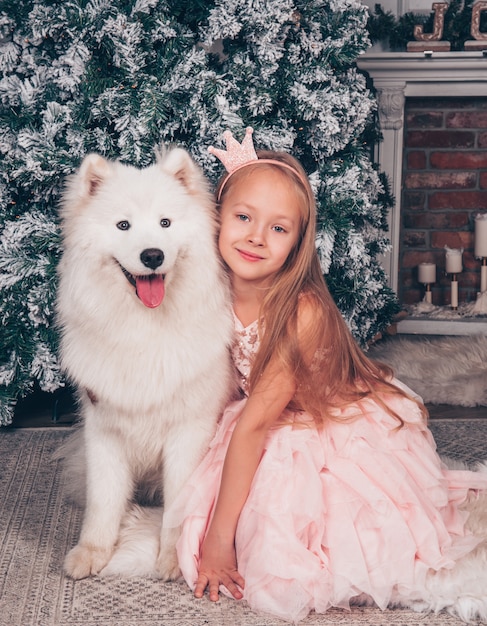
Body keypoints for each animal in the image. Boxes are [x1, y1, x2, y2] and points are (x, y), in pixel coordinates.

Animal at [56, 147, 235, 580]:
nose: (152, 255)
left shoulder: (188, 432)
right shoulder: (105, 430)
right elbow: (103, 501)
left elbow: (179, 507)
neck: (143, 329)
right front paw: (92, 552)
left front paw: (173, 559)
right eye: (123, 225)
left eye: (165, 222)